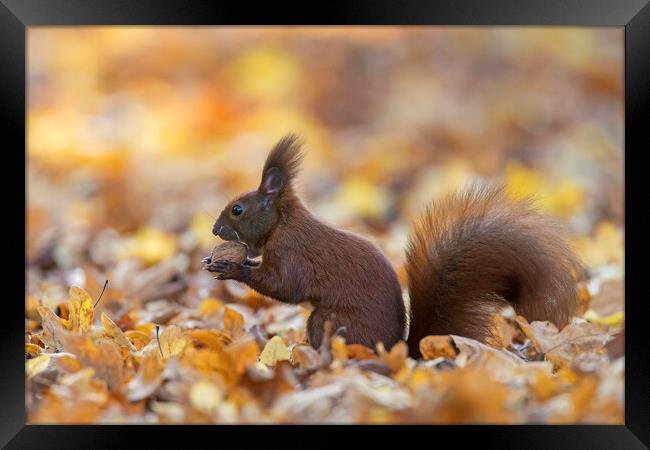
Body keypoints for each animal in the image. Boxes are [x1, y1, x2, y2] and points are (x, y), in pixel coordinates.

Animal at [202, 133, 584, 356]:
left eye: (238, 209)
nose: (215, 230)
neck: (283, 221)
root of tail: (399, 350)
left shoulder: (293, 251)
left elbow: (285, 286)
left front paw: (231, 267)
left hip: (330, 322)